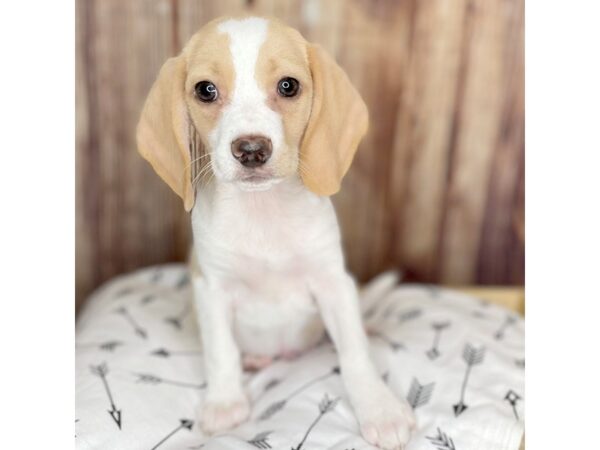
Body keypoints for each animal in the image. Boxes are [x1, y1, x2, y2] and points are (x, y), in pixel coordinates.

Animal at [138, 14, 414, 450]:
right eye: (205, 90)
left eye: (288, 86)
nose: (251, 149)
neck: (263, 213)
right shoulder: (211, 289)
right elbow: (221, 351)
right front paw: (224, 403)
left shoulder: (332, 283)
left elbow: (355, 353)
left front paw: (380, 409)